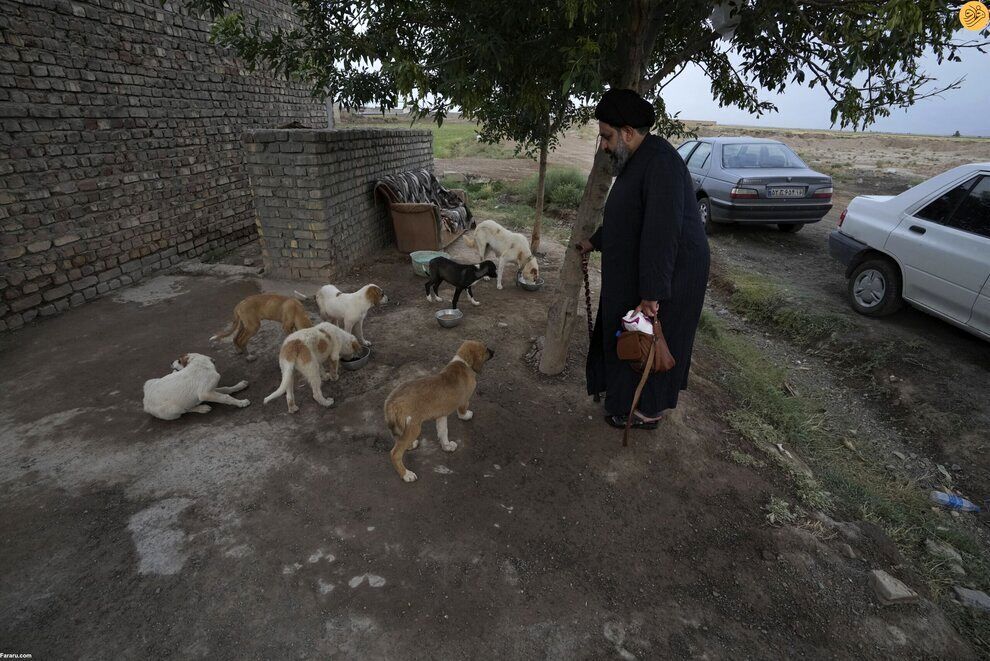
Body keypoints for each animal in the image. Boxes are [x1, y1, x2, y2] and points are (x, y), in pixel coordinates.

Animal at [386, 340, 496, 480]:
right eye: (486, 349)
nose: (494, 352)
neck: (463, 362)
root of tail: (391, 403)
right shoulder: (464, 400)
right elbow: (462, 411)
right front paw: (466, 416)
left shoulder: (441, 415)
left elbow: (443, 432)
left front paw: (447, 446)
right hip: (413, 427)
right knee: (395, 453)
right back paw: (406, 474)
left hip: (402, 428)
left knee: (399, 442)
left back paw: (411, 445)